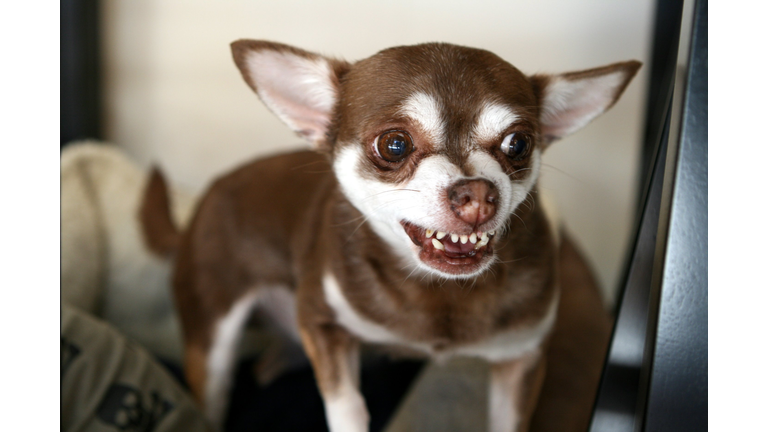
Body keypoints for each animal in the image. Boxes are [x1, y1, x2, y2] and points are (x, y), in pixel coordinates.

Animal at [141, 39, 640, 428]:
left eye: (518, 144)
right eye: (394, 145)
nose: (479, 194)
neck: (439, 294)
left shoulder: (521, 359)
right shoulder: (322, 323)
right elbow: (347, 405)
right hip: (213, 338)